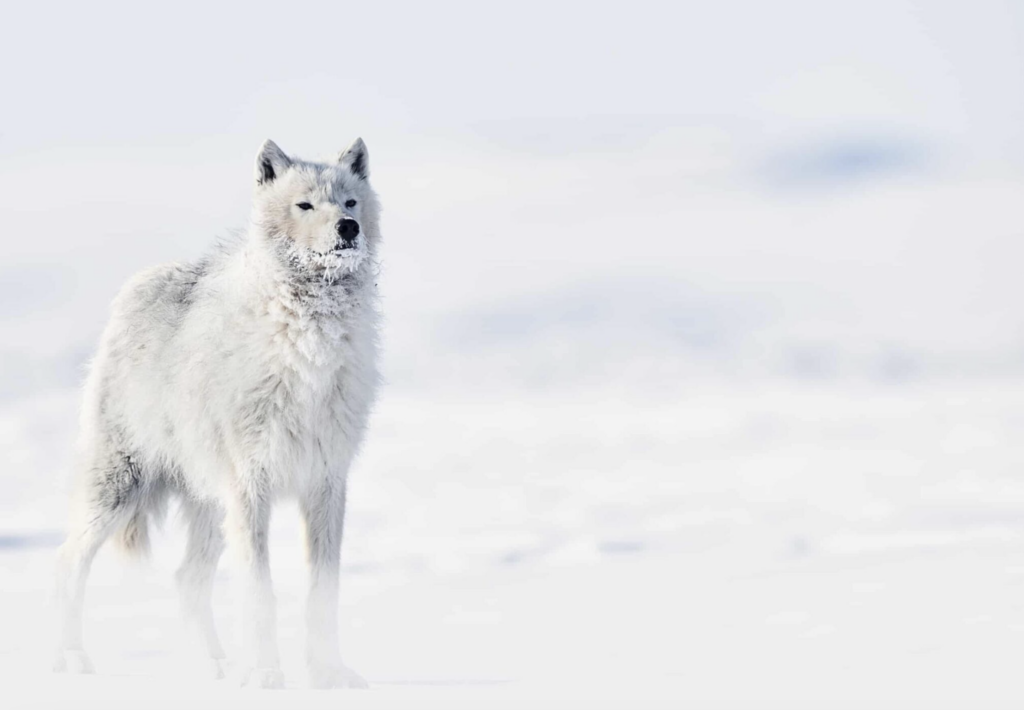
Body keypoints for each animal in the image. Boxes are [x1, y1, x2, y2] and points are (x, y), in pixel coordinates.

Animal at [52, 137, 380, 688]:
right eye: (305, 205)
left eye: (350, 202)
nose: (348, 228)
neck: (307, 339)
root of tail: (140, 285)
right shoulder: (251, 486)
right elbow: (260, 593)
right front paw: (266, 676)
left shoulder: (326, 482)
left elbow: (322, 593)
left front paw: (328, 674)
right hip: (120, 488)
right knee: (68, 560)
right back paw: (72, 660)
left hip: (209, 504)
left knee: (186, 579)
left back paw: (214, 667)